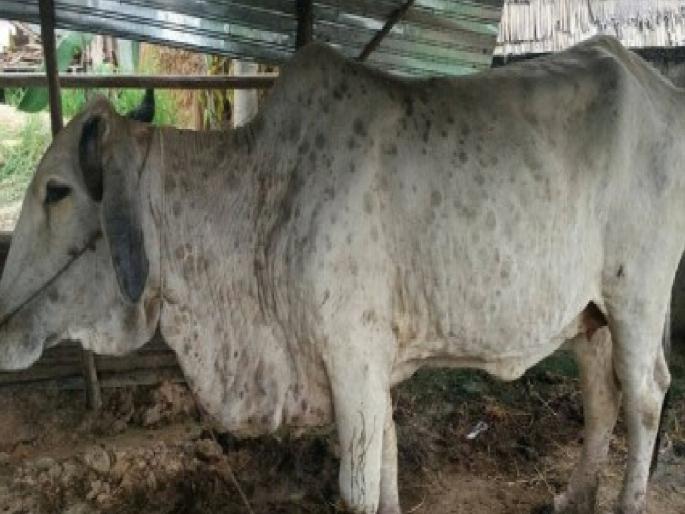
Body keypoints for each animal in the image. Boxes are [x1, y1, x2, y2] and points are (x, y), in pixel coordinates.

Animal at [0, 35, 677, 513]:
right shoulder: (373, 373)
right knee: (601, 398)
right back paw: (573, 496)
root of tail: (653, 80)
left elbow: (358, 493)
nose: (4, 323)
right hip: (589, 315)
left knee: (645, 397)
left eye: (57, 191)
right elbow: (388, 470)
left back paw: (626, 502)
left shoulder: (352, 359)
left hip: (637, 300)